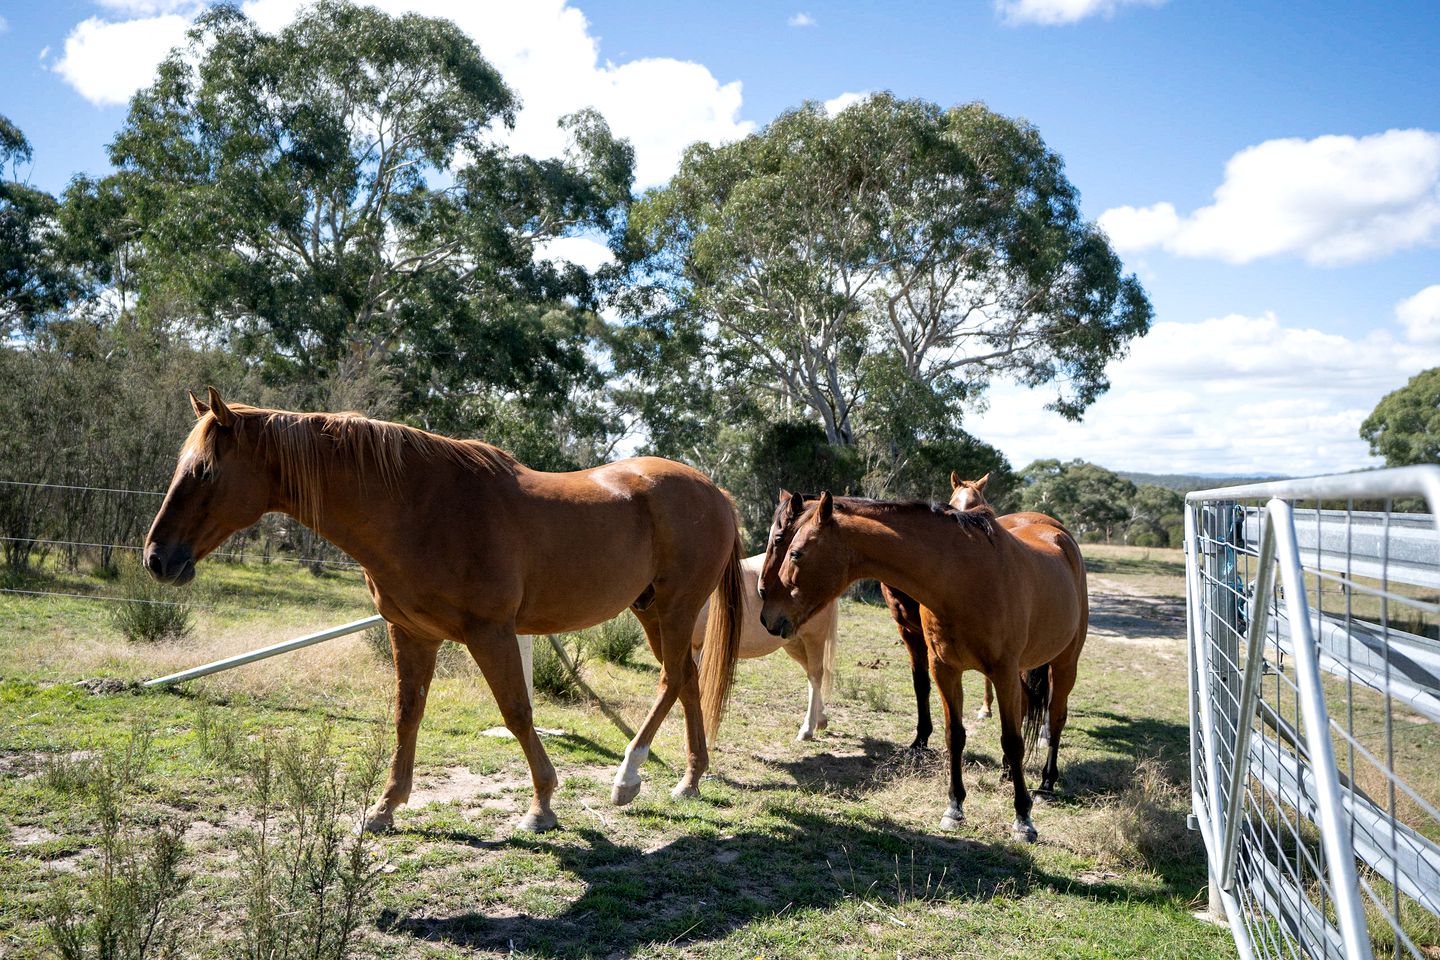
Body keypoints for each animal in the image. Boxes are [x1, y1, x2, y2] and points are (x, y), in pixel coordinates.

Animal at [149, 391, 743, 834]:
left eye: (205, 471)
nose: (158, 558)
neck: (419, 508)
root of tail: (716, 491)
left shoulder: (491, 633)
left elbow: (517, 713)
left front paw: (542, 805)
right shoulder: (412, 634)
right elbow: (406, 714)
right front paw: (384, 807)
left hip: (676, 607)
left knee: (671, 679)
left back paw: (628, 777)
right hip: (650, 610)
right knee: (688, 681)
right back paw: (689, 780)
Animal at [688, 555, 840, 742]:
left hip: (813, 638)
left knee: (816, 675)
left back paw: (807, 729)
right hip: (794, 644)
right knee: (811, 674)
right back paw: (821, 720)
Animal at [760, 492, 1082, 834]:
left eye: (794, 552)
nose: (767, 613)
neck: (964, 578)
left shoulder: (1002, 671)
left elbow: (1012, 740)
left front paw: (1023, 817)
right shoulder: (945, 669)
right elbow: (955, 735)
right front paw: (955, 807)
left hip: (1064, 665)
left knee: (1056, 719)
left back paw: (1046, 784)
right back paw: (1008, 773)